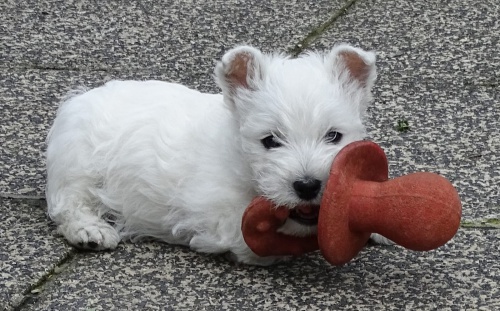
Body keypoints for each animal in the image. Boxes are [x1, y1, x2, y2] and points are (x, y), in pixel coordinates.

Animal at [45, 44, 386, 266]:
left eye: (334, 136)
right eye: (269, 141)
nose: (307, 186)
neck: (240, 161)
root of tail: (80, 98)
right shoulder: (215, 210)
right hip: (78, 164)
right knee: (69, 203)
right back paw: (90, 231)